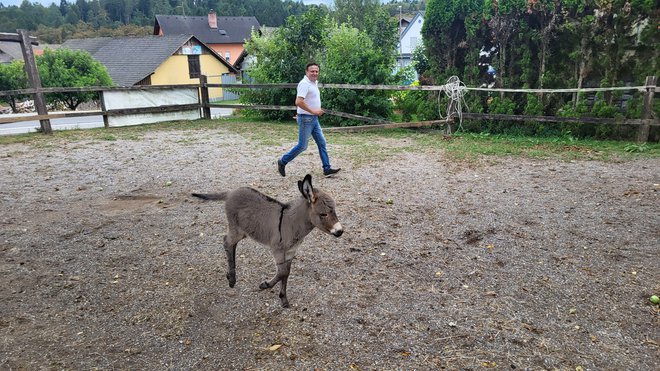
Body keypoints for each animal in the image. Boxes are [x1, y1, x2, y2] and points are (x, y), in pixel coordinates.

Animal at [191, 174, 342, 308]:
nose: (340, 231)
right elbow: (282, 272)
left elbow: (286, 273)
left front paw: (283, 299)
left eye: (334, 211)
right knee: (227, 242)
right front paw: (265, 285)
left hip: (244, 231)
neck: (292, 223)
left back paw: (230, 276)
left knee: (231, 243)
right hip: (237, 229)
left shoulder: (291, 252)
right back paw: (232, 279)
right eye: (323, 214)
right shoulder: (277, 250)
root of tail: (231, 192)